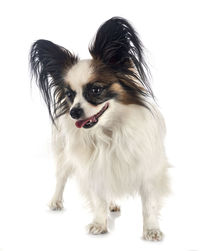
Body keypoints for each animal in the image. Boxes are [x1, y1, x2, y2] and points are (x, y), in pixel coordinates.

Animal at [30, 16, 170, 240]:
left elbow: (149, 204)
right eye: (69, 95)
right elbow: (97, 198)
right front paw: (99, 223)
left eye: (96, 90)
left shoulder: (148, 168)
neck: (109, 131)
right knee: (60, 177)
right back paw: (56, 201)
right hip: (62, 153)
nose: (73, 112)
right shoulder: (93, 168)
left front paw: (151, 230)